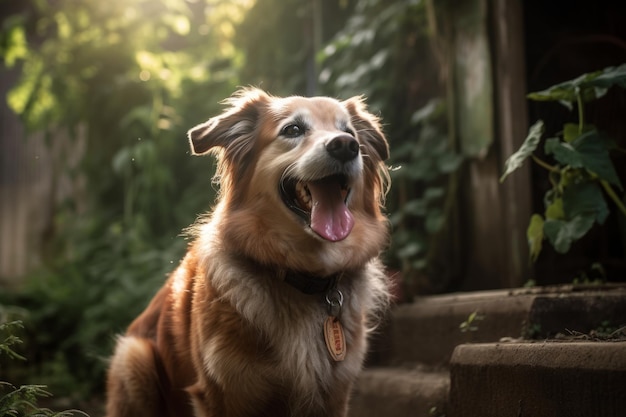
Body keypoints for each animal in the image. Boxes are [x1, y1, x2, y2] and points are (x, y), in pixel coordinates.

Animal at [106, 88, 390, 416]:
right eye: (293, 129)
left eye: (349, 132)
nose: (345, 146)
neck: (301, 275)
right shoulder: (221, 393)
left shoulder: (335, 394)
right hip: (134, 357)